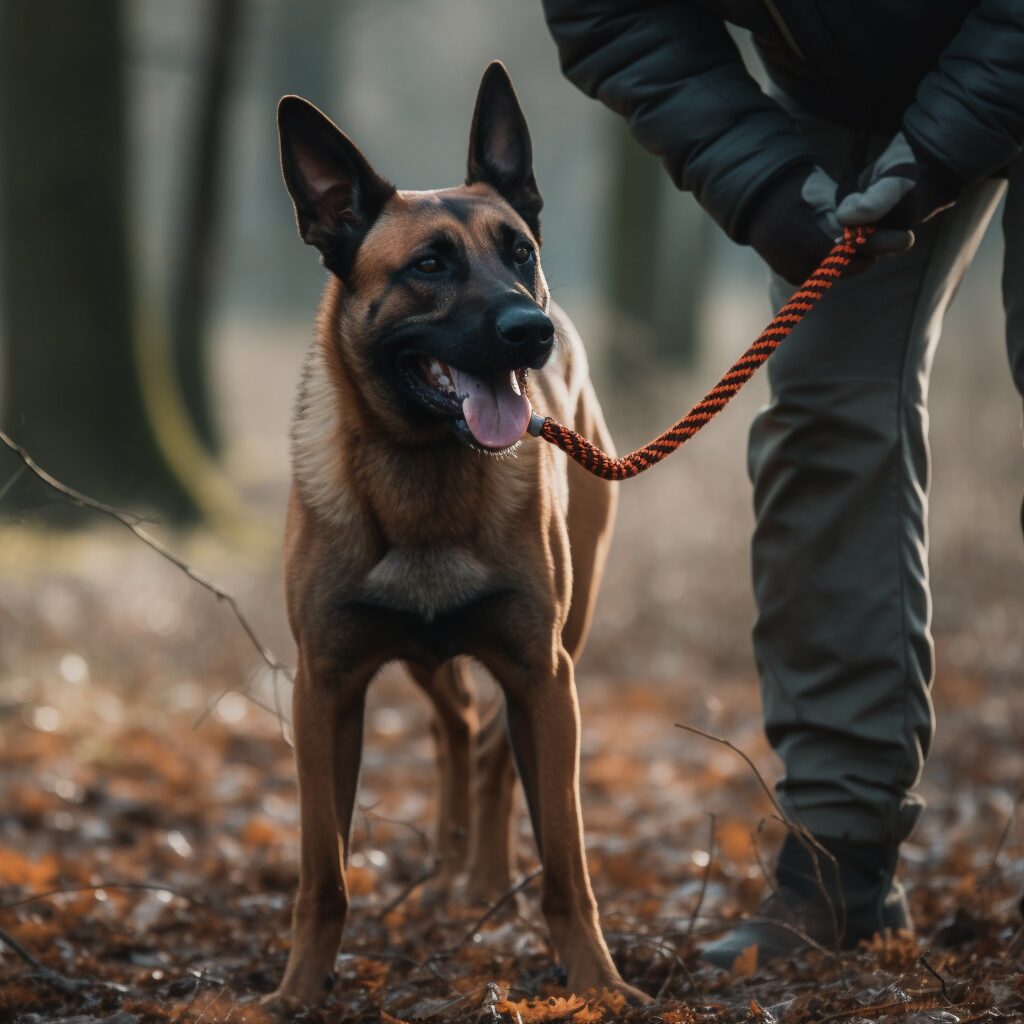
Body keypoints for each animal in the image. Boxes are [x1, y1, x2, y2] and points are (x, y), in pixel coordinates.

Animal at [264, 59, 647, 1003]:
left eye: (521, 253)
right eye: (429, 264)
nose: (530, 331)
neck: (424, 473)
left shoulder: (543, 678)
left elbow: (567, 863)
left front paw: (598, 983)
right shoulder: (326, 688)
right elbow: (323, 871)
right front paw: (298, 992)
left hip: (559, 646)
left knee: (489, 752)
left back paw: (480, 879)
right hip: (426, 659)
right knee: (457, 729)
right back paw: (447, 869)